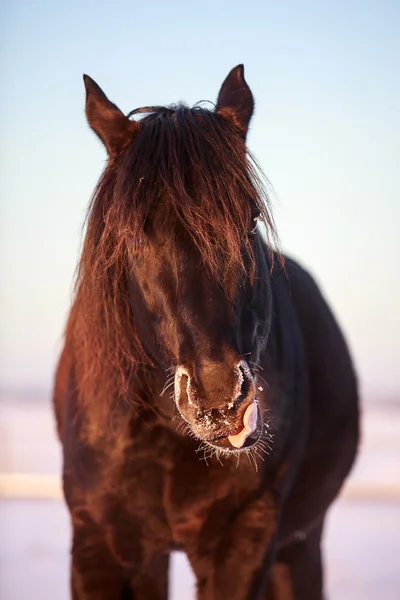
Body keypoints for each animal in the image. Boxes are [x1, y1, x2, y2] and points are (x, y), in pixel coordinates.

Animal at [53, 65, 360, 600]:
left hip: (299, 543)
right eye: (130, 235)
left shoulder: (244, 540)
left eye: (250, 218)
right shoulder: (100, 547)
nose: (221, 401)